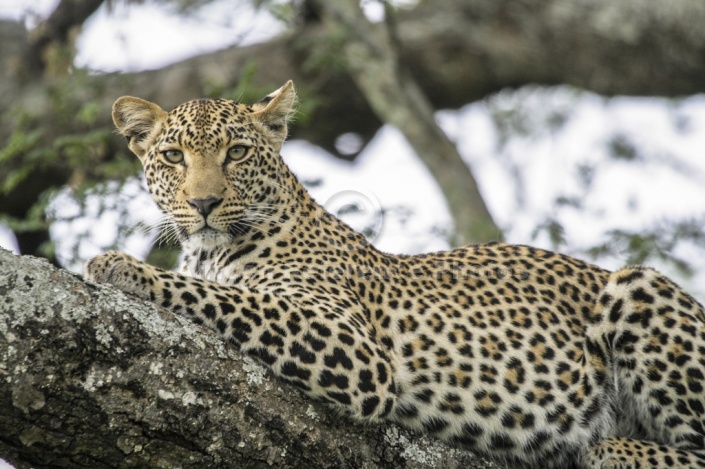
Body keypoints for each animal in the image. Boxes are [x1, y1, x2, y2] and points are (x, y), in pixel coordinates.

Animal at [85, 81, 704, 468]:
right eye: (172, 157)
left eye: (237, 152)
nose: (205, 203)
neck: (210, 251)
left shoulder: (357, 353)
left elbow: (221, 296)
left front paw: (118, 266)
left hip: (640, 287)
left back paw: (610, 449)